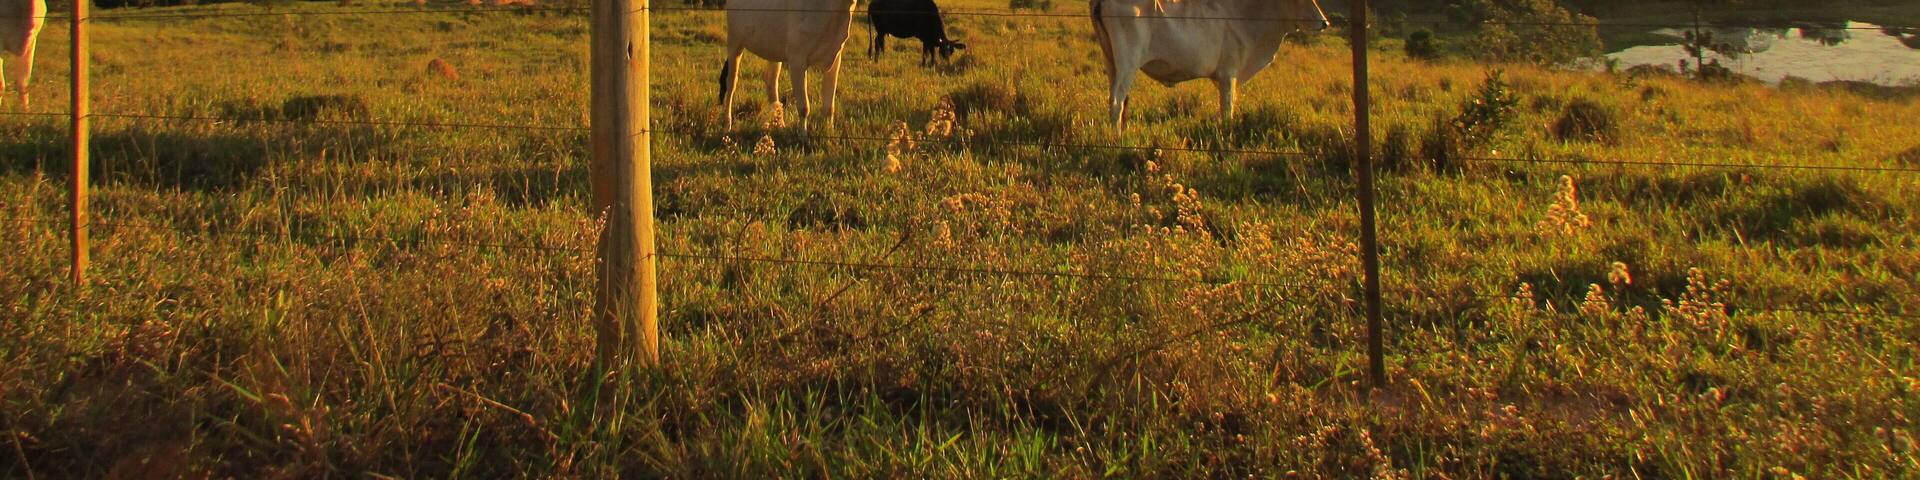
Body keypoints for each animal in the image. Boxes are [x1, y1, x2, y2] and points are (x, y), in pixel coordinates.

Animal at [720, 0, 857, 135]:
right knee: (731, 83)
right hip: (734, 42)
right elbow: (804, 107)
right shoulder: (797, 60)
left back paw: (779, 124)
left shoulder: (835, 58)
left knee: (771, 82)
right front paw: (802, 137)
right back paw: (727, 124)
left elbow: (829, 107)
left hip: (773, 51)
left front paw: (829, 132)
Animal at [1091, 0, 1329, 130]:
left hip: (1111, 61)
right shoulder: (1228, 74)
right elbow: (1227, 108)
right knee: (1117, 100)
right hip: (1128, 63)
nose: (1325, 22)